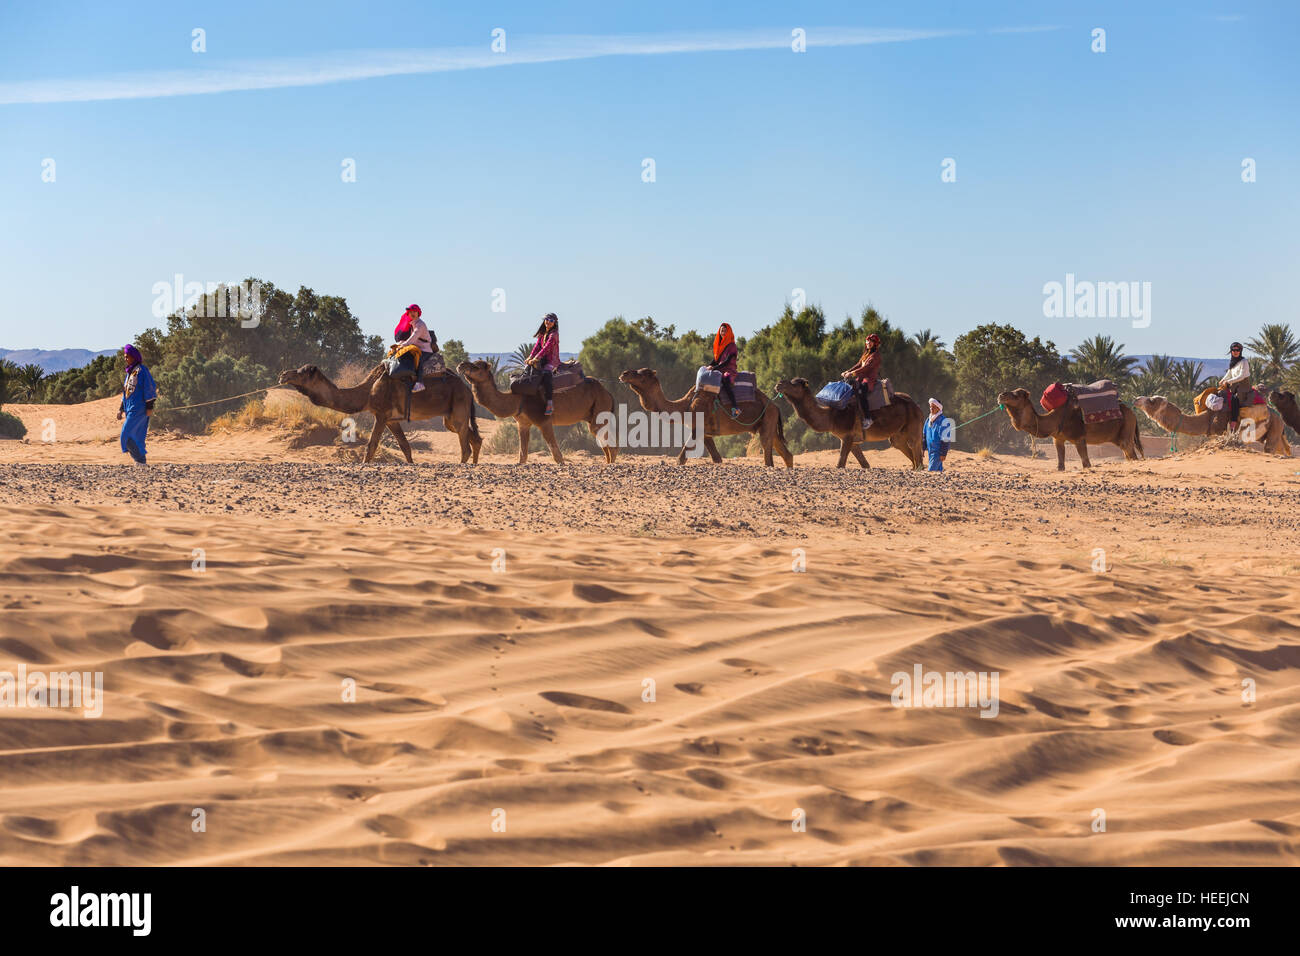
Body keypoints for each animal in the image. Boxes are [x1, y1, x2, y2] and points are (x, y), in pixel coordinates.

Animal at [282, 361, 486, 463]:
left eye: (301, 372)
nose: (283, 374)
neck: (368, 392)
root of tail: (467, 390)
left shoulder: (381, 415)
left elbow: (371, 446)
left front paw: (364, 465)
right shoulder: (391, 420)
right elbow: (405, 447)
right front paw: (411, 464)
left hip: (458, 408)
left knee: (465, 446)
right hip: (449, 417)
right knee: (474, 438)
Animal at [457, 358, 618, 463]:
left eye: (477, 367)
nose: (461, 365)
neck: (518, 400)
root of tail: (608, 393)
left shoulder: (543, 421)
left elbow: (557, 455)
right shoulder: (522, 423)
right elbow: (522, 455)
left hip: (600, 408)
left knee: (608, 442)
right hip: (594, 415)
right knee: (604, 441)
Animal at [769, 382, 925, 470]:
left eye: (794, 384)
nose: (779, 385)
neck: (831, 416)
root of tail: (916, 405)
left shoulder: (847, 436)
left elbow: (840, 463)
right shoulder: (853, 440)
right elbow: (864, 464)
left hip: (914, 423)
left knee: (915, 445)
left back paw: (919, 468)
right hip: (898, 432)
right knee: (900, 444)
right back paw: (913, 468)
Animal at [998, 390, 1144, 470]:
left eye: (1017, 395)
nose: (1001, 395)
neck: (1055, 418)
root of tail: (1133, 413)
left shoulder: (1079, 438)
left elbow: (1086, 464)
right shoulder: (1057, 439)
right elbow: (1060, 465)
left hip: (1127, 429)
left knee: (1131, 452)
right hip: (1118, 436)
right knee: (1128, 454)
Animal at [1138, 395, 1289, 457]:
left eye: (1152, 401)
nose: (1136, 399)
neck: (1208, 417)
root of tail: (1277, 415)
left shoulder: (1219, 433)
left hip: (1275, 427)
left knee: (1270, 448)